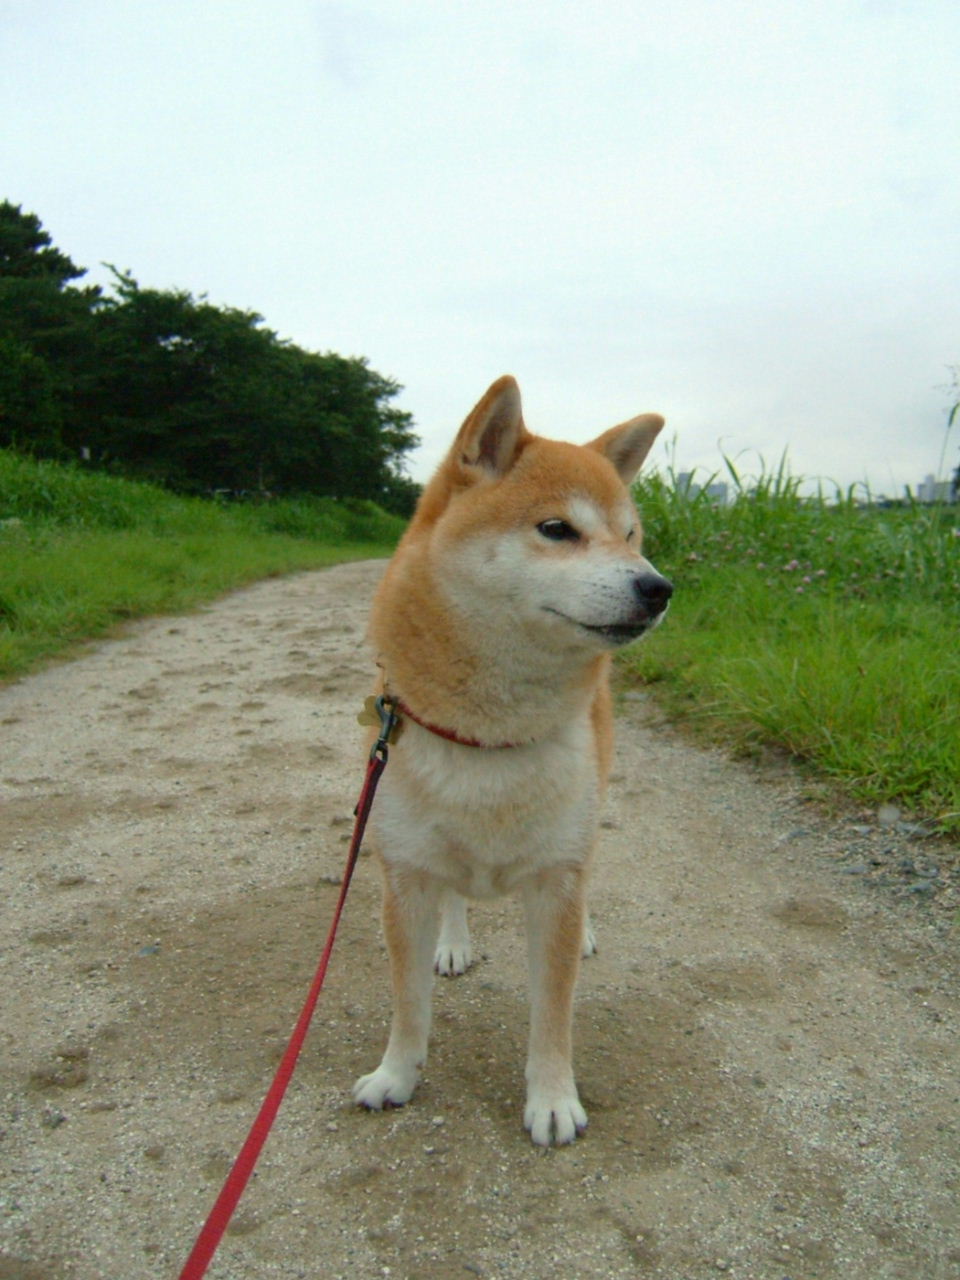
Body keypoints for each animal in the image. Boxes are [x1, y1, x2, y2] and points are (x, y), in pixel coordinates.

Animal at [352, 375, 672, 1145]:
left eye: (630, 536)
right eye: (557, 529)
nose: (658, 587)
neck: (488, 738)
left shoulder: (556, 880)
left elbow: (552, 1014)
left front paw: (552, 1099)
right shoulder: (404, 875)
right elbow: (408, 1003)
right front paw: (396, 1076)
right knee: (456, 895)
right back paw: (454, 941)